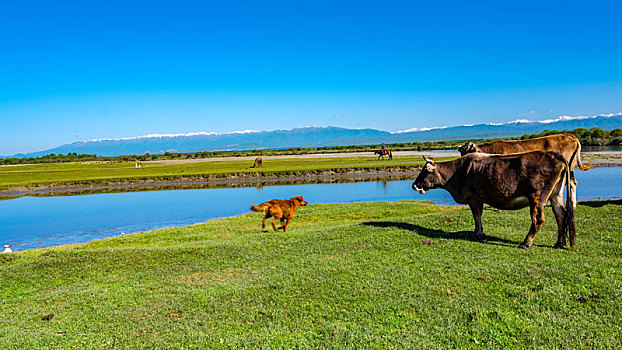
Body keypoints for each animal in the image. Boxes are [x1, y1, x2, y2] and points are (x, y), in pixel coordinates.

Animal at [414, 152, 580, 249]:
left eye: (425, 171)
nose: (414, 184)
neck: (458, 171)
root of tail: (551, 154)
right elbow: (479, 215)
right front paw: (480, 231)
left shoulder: (473, 198)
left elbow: (476, 215)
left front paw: (477, 233)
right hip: (556, 195)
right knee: (561, 216)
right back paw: (558, 243)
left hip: (537, 198)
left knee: (538, 219)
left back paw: (526, 243)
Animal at [458, 131, 596, 208]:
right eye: (461, 153)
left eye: (469, 151)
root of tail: (569, 135)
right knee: (573, 182)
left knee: (571, 183)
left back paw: (572, 205)